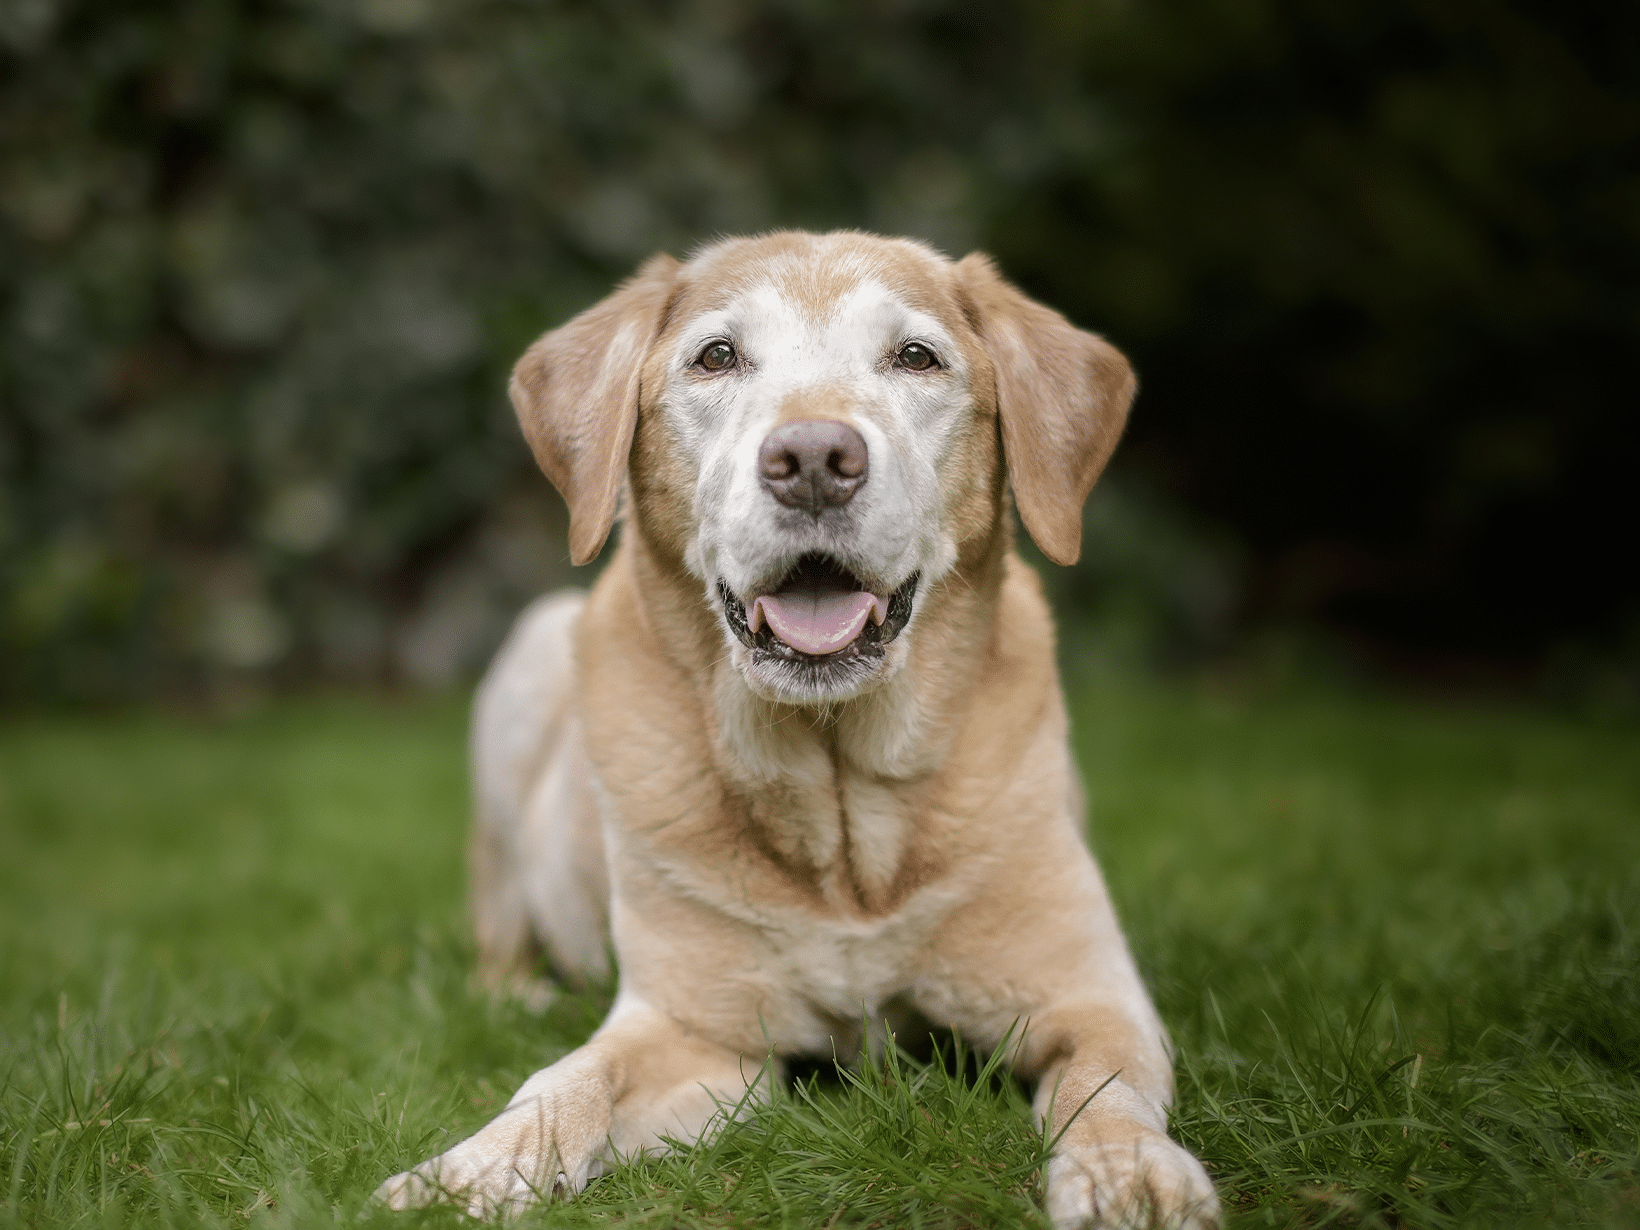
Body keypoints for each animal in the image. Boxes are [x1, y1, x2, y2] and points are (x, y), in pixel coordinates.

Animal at [372, 232, 1220, 1230]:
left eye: (916, 357)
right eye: (716, 357)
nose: (814, 457)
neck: (840, 801)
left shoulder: (1090, 997)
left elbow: (1106, 1088)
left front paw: (1131, 1172)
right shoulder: (698, 1032)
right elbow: (568, 1081)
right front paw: (469, 1170)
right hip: (531, 659)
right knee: (499, 943)